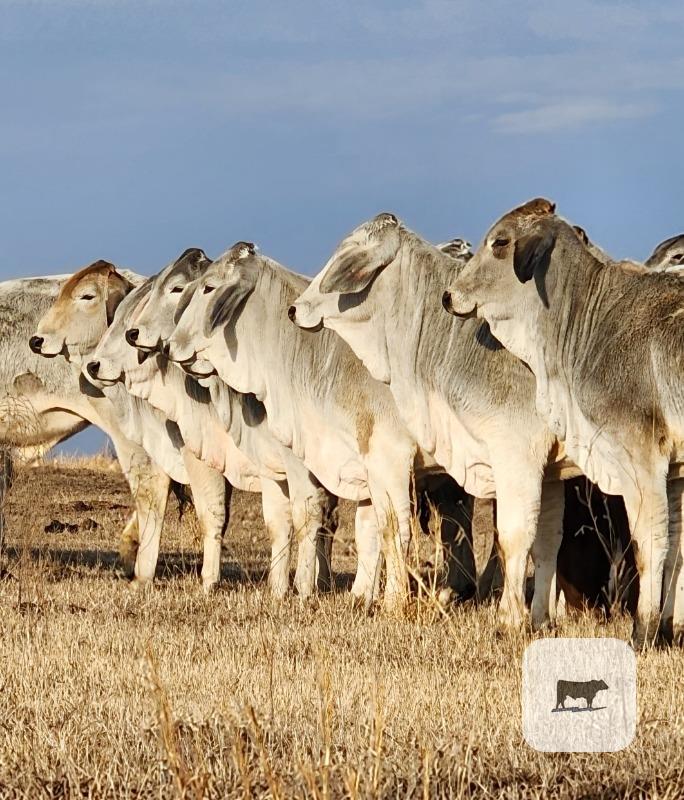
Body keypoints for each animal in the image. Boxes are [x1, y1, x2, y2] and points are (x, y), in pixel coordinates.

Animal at [444, 198, 684, 647]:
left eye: (500, 242)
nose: (448, 296)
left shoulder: (642, 460)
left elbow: (651, 543)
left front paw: (643, 630)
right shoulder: (676, 471)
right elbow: (677, 545)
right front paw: (669, 628)